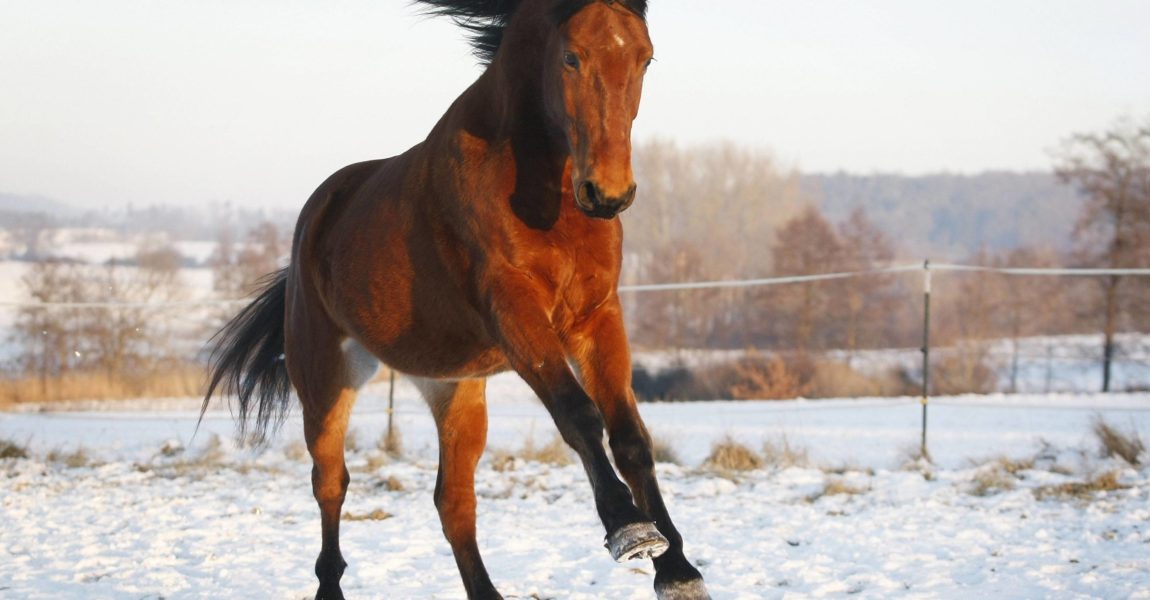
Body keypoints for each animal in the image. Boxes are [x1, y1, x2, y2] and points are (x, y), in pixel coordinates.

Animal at [207, 2, 708, 593]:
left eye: (645, 58)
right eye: (571, 56)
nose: (608, 194)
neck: (542, 192)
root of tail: (318, 214)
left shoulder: (597, 316)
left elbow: (630, 435)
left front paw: (677, 570)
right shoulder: (513, 310)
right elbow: (579, 414)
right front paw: (629, 528)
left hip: (454, 389)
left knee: (453, 503)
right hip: (327, 381)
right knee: (331, 484)